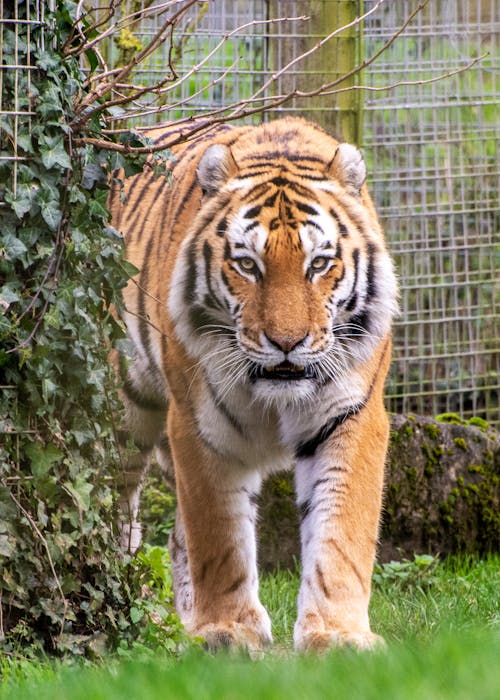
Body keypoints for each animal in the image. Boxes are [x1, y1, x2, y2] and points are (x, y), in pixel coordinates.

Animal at [108, 117, 398, 652]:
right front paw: (228, 630)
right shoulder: (199, 424)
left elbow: (342, 529)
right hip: (120, 411)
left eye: (319, 264)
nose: (287, 342)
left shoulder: (352, 415)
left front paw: (338, 633)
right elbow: (218, 537)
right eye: (247, 264)